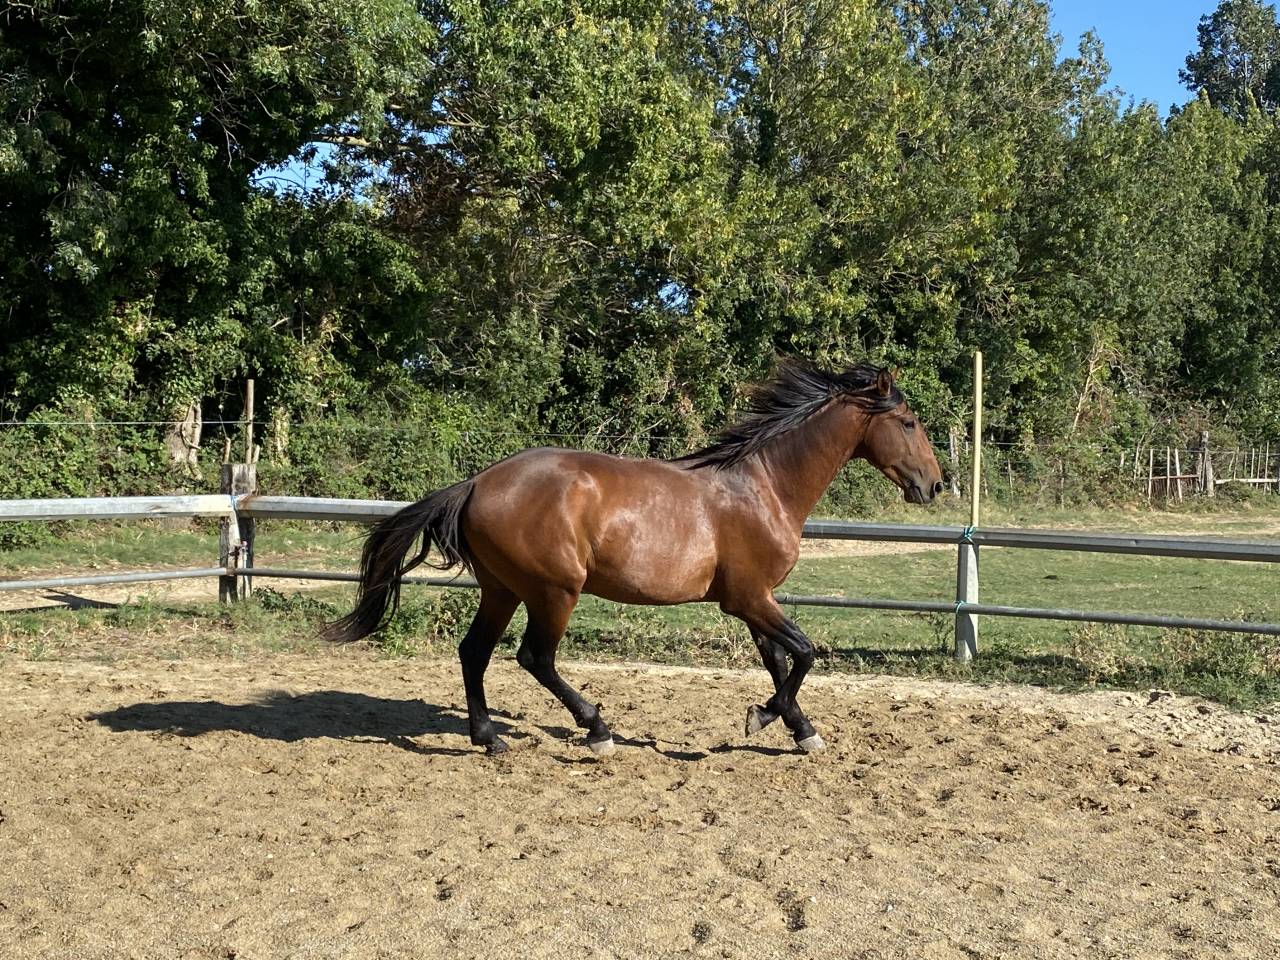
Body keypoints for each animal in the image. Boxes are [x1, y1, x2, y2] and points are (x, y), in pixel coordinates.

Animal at [324, 361, 945, 756]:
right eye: (909, 422)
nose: (935, 485)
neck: (762, 487)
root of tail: (475, 483)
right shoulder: (748, 598)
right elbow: (806, 653)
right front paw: (766, 717)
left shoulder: (752, 599)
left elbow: (779, 659)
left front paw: (797, 728)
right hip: (554, 591)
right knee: (534, 657)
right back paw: (597, 732)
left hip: (502, 589)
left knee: (474, 652)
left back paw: (489, 737)